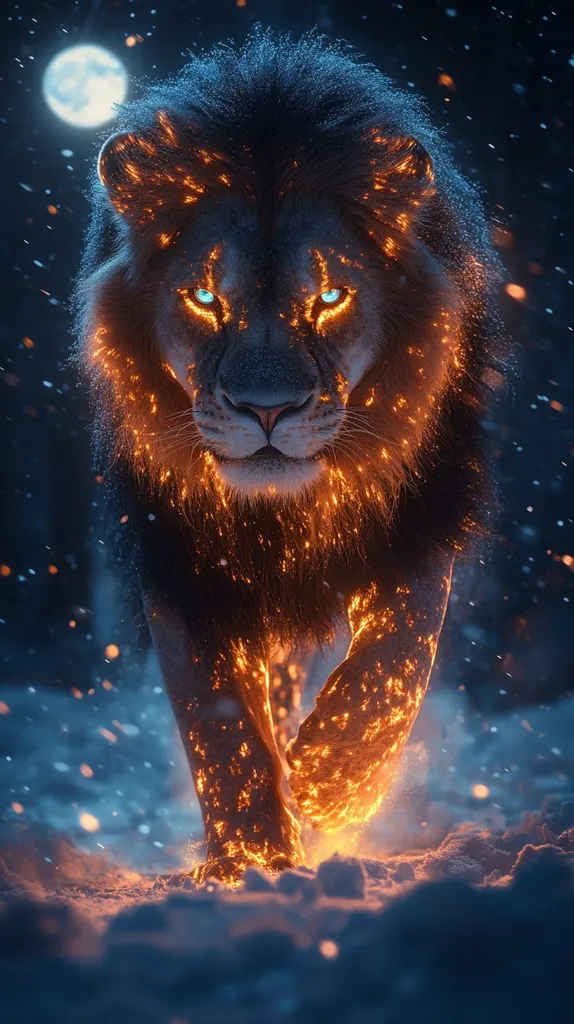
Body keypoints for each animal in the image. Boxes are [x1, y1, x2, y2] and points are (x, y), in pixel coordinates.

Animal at [75, 31, 503, 882]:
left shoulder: (422, 507)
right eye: (205, 299)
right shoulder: (180, 553)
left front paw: (330, 779)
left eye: (331, 298)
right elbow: (216, 717)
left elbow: (399, 649)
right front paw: (250, 858)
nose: (266, 410)